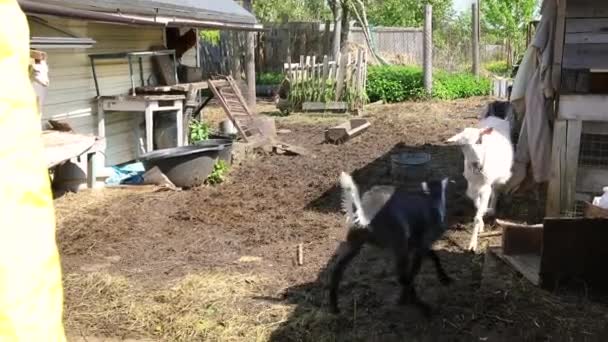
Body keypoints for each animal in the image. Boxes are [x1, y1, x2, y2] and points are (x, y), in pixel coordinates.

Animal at [328, 172, 452, 316]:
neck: (432, 200)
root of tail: (364, 214)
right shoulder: (421, 243)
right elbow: (420, 265)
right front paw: (444, 279)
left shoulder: (416, 244)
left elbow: (431, 256)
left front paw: (444, 278)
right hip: (399, 244)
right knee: (402, 277)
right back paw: (422, 306)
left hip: (354, 243)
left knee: (337, 269)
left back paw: (334, 307)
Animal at [446, 115, 512, 251]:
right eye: (463, 145)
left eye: (479, 140)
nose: (476, 163)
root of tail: (496, 117)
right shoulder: (471, 186)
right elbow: (476, 203)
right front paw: (481, 223)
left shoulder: (485, 187)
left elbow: (480, 209)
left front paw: (472, 244)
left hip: (500, 176)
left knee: (496, 191)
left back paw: (492, 208)